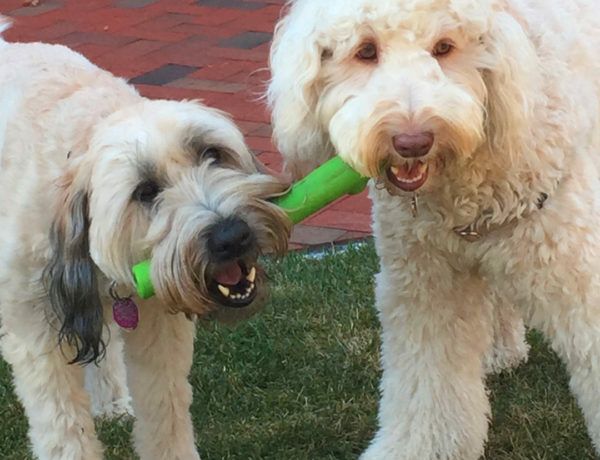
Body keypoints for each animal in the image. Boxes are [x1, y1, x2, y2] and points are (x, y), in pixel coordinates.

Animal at [0, 16, 290, 460]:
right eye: (146, 191)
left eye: (212, 154)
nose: (232, 236)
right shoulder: (36, 330)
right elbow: (63, 427)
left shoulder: (156, 322)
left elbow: (164, 408)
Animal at [268, 0, 600, 458]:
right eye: (366, 51)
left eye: (445, 46)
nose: (412, 141)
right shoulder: (425, 284)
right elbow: (429, 387)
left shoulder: (582, 282)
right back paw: (501, 349)